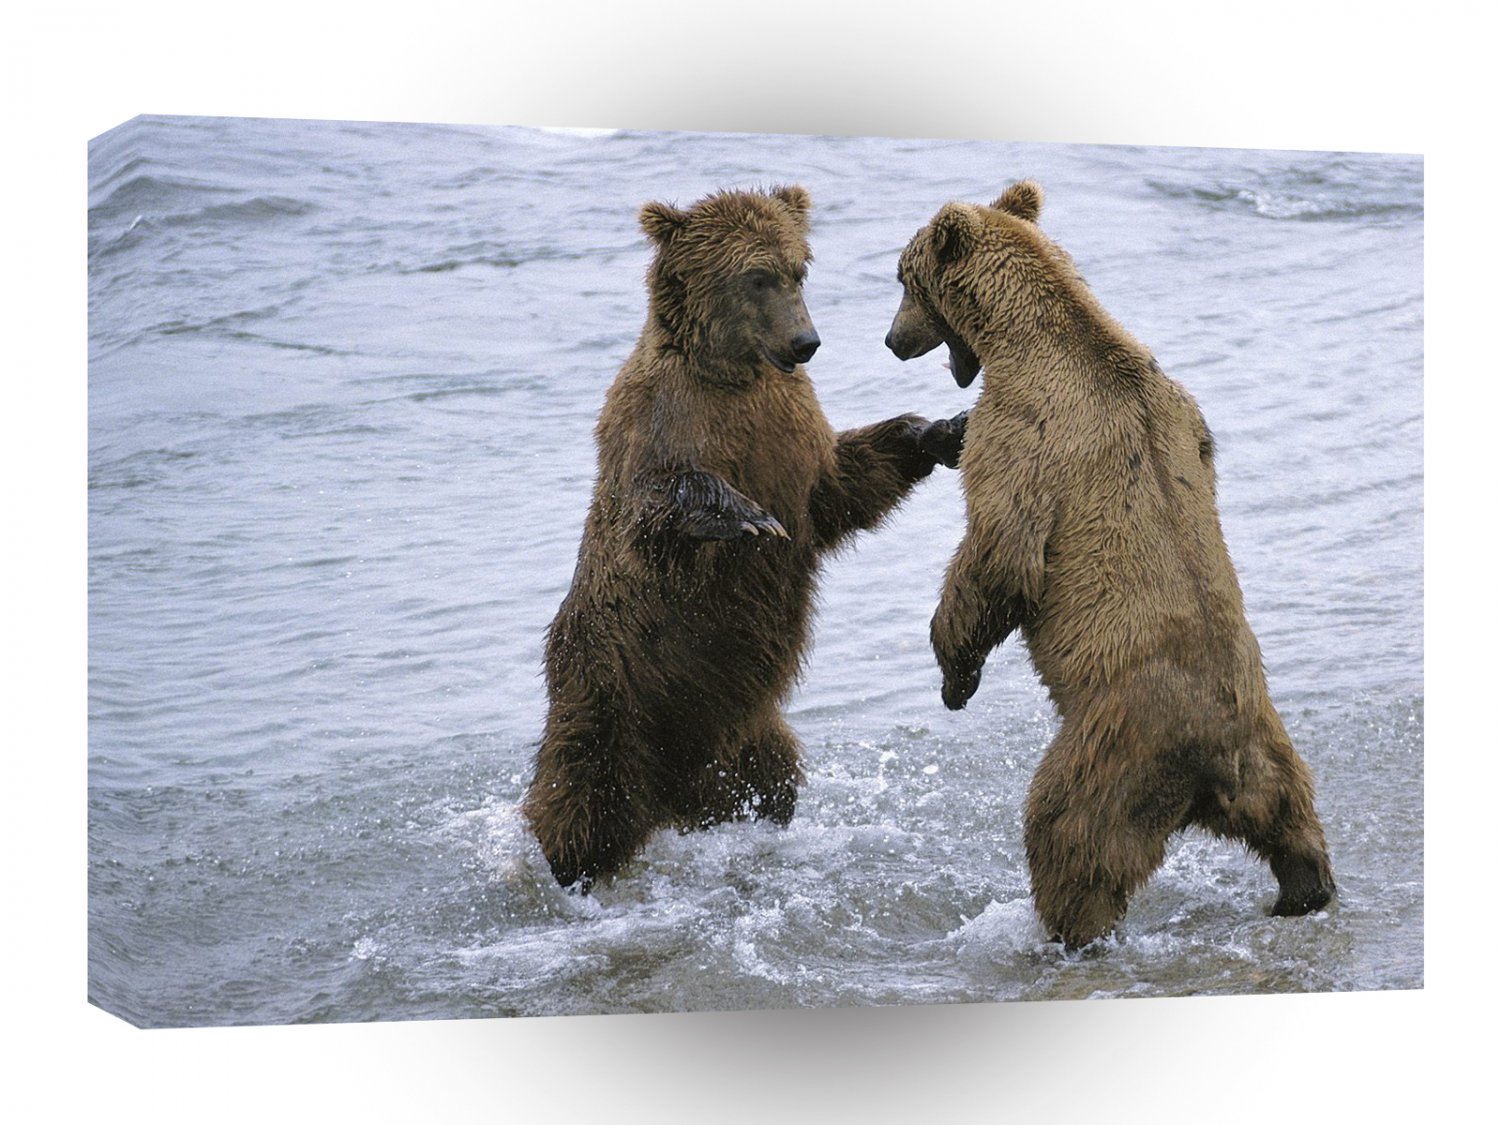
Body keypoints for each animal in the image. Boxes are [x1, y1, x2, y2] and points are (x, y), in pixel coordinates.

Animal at [523, 184, 965, 890]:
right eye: (755, 277)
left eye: (797, 270)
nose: (806, 341)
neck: (737, 375)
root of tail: (672, 800)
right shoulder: (659, 417)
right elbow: (652, 507)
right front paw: (744, 516)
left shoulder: (791, 432)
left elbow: (841, 485)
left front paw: (939, 430)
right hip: (608, 691)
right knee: (580, 799)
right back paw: (568, 868)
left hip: (747, 729)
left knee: (771, 781)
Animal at [885, 179, 1336, 948]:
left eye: (901, 278)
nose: (891, 340)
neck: (1028, 336)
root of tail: (1218, 762)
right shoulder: (1184, 411)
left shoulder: (1023, 434)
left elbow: (999, 555)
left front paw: (954, 675)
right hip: (1270, 748)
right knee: (1295, 819)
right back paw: (1304, 892)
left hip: (1115, 743)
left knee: (1067, 833)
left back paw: (1066, 931)